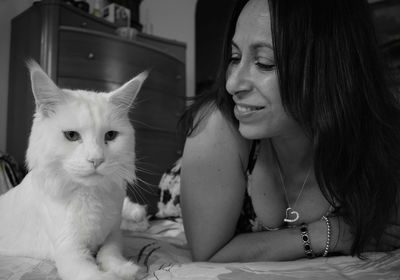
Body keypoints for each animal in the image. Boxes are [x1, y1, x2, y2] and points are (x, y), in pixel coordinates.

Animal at [0, 60, 148, 280]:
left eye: (110, 135)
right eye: (71, 136)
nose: (96, 160)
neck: (89, 195)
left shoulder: (114, 234)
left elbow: (110, 252)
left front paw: (125, 268)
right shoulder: (71, 253)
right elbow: (98, 275)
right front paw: (119, 273)